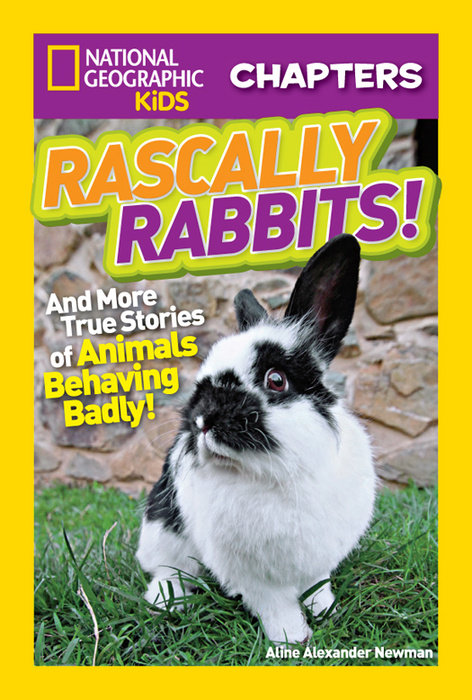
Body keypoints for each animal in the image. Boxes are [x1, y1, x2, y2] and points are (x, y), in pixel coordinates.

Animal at [136, 233, 376, 645]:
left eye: (276, 380)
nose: (201, 419)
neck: (276, 473)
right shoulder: (254, 575)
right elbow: (276, 605)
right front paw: (292, 640)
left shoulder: (318, 557)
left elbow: (318, 585)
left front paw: (325, 611)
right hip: (161, 530)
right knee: (165, 569)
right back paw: (167, 601)